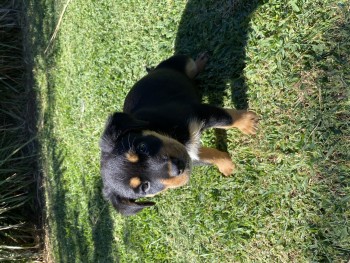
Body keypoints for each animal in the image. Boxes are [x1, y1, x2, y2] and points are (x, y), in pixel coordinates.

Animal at [98, 53, 258, 217]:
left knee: (192, 67)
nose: (178, 167)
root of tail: (153, 71)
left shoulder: (197, 112)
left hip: (183, 63)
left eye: (142, 147)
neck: (166, 131)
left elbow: (228, 118)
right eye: (145, 187)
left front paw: (247, 123)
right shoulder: (190, 154)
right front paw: (227, 166)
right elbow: (209, 156)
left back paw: (201, 61)